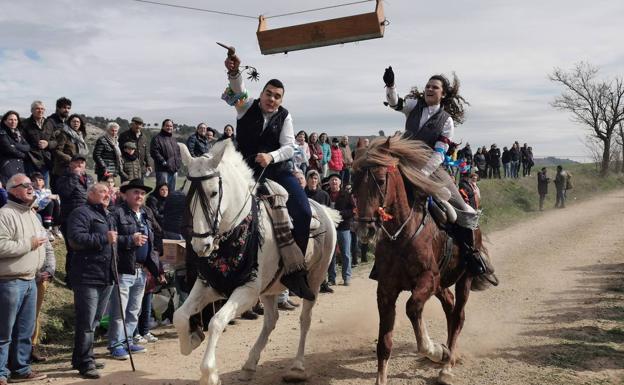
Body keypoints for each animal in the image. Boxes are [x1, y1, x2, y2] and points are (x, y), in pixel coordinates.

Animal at [171, 140, 338, 384]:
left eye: (213, 192)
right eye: (187, 195)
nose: (201, 245)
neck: (237, 232)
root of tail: (324, 211)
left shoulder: (247, 290)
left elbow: (217, 321)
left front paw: (209, 373)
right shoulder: (208, 285)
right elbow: (180, 315)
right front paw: (191, 341)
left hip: (314, 281)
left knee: (305, 320)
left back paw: (297, 367)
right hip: (269, 288)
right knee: (271, 320)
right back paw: (250, 364)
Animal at [354, 136, 494, 384]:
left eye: (380, 180)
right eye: (353, 181)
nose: (365, 229)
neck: (403, 235)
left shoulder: (427, 279)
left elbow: (412, 308)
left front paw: (436, 351)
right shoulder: (386, 290)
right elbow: (384, 343)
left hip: (464, 278)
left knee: (458, 316)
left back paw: (447, 365)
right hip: (441, 284)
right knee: (449, 307)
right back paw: (449, 355)